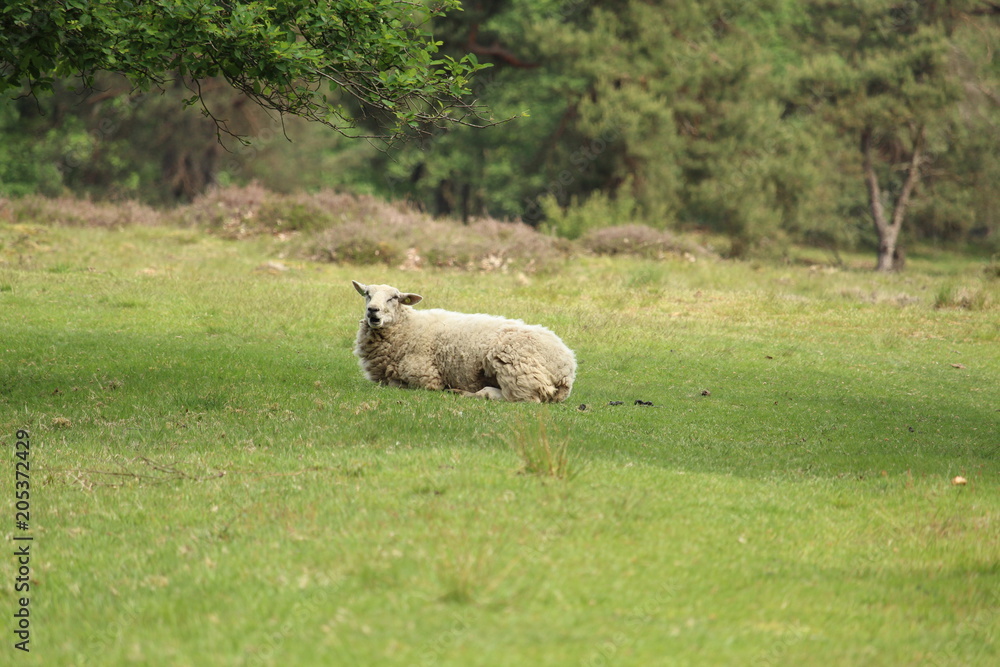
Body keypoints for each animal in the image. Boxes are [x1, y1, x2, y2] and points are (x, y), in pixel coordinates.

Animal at [354, 280, 580, 402]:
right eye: (367, 294)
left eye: (394, 298)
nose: (372, 311)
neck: (407, 327)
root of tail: (567, 364)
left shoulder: (425, 376)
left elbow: (394, 384)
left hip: (518, 370)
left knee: (515, 397)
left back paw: (461, 392)